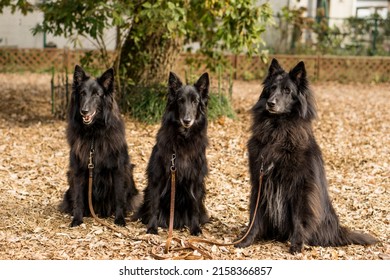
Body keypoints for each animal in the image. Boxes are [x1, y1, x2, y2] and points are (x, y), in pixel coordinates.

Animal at [60, 64, 139, 226]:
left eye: (97, 94)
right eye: (82, 93)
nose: (84, 111)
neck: (94, 135)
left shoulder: (118, 169)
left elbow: (119, 197)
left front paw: (119, 219)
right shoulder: (78, 169)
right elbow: (78, 197)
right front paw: (77, 219)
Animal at [133, 71, 209, 235]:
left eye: (195, 101)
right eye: (180, 101)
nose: (187, 120)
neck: (183, 139)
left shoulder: (196, 179)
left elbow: (194, 207)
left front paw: (195, 228)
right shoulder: (158, 178)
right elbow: (155, 205)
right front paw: (152, 227)